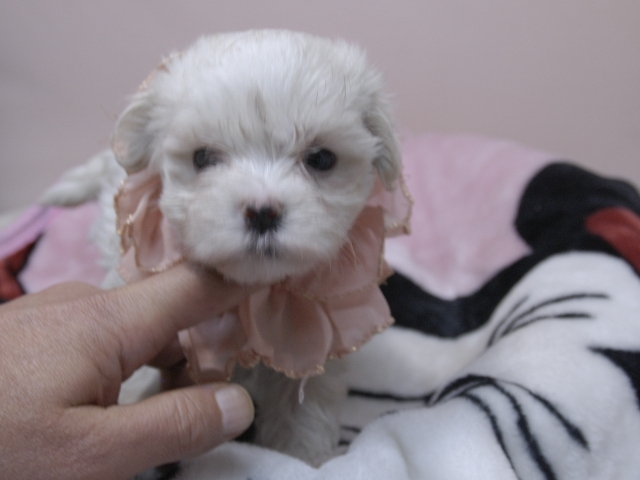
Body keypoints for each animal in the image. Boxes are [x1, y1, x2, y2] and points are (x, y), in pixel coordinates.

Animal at [41, 30, 405, 469]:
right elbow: (134, 375)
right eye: (203, 158)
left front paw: (302, 458)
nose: (262, 212)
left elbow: (304, 408)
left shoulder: (318, 335)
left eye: (320, 158)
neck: (256, 299)